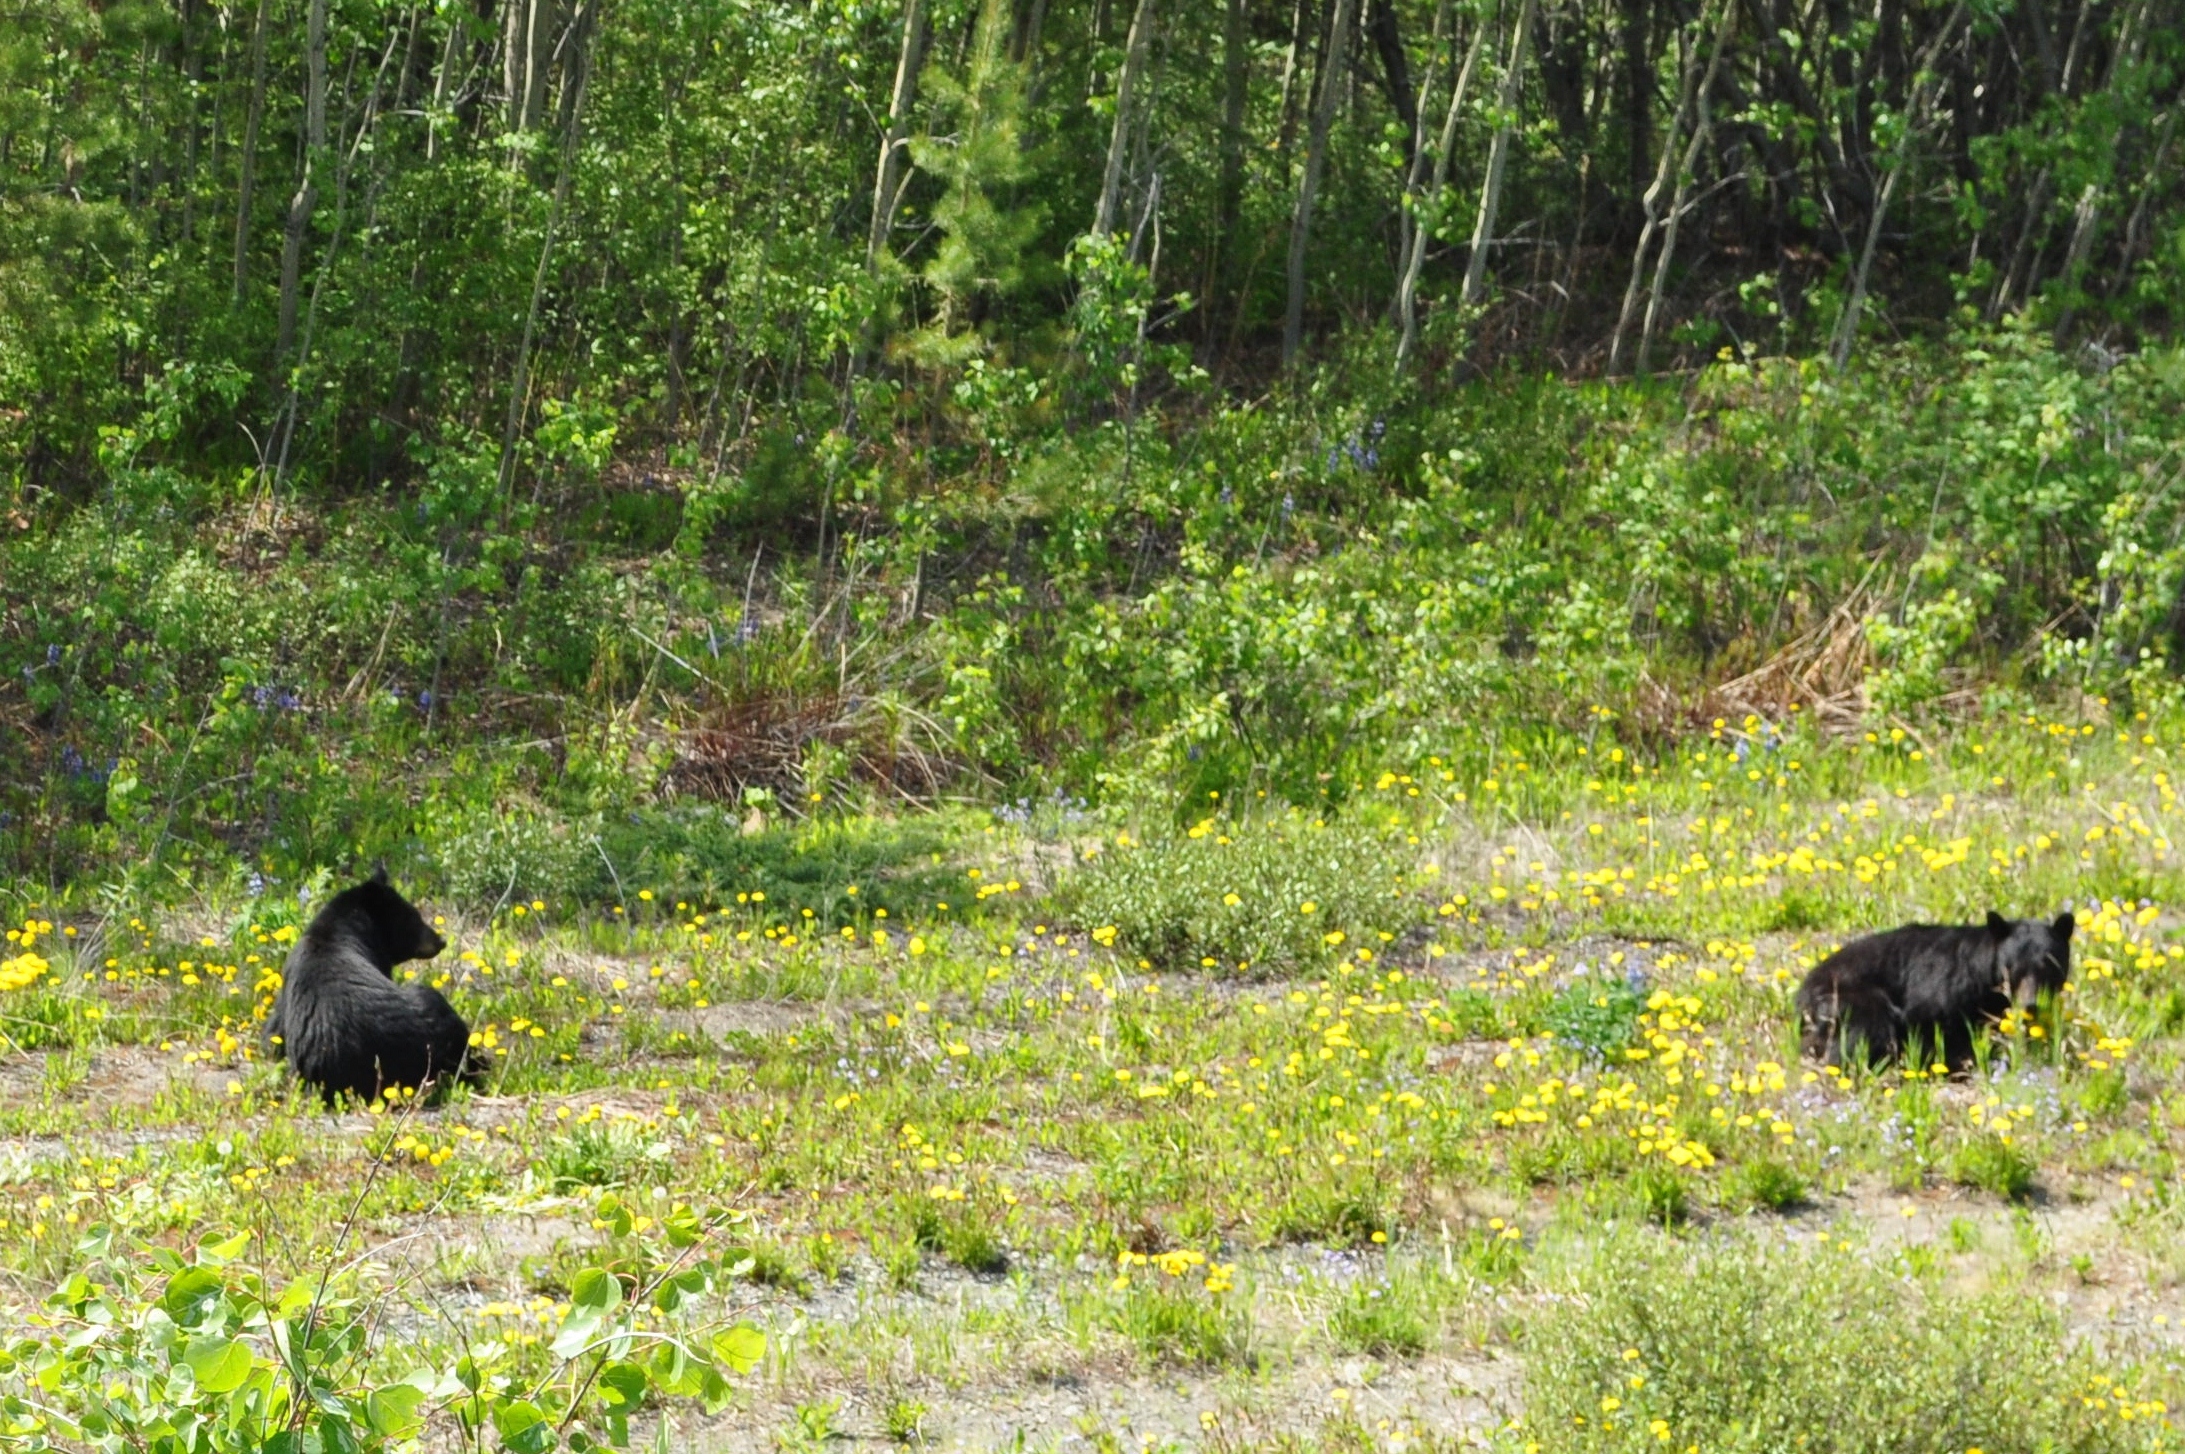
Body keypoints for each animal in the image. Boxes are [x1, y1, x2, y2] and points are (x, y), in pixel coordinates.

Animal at [1795, 910, 2073, 1070]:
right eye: (2011, 969)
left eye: (2049, 966)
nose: (2030, 1004)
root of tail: (1800, 996)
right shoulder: (1943, 986)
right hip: (1847, 997)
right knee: (1866, 1030)